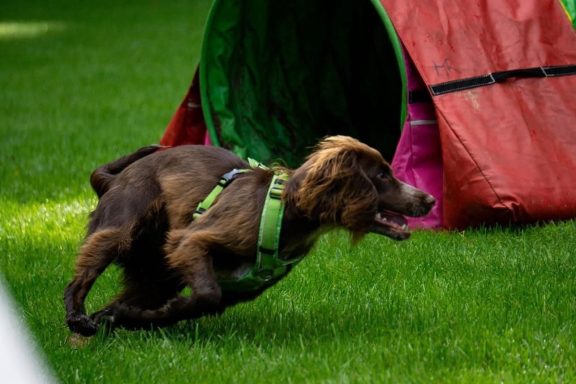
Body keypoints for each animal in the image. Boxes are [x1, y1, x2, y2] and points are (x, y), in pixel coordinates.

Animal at [64, 136, 432, 336]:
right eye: (381, 175)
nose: (429, 199)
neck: (289, 213)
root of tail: (115, 178)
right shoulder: (191, 241)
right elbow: (207, 294)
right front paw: (124, 318)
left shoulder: (238, 288)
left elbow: (194, 305)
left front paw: (127, 318)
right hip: (121, 224)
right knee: (79, 279)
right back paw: (78, 319)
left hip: (157, 272)